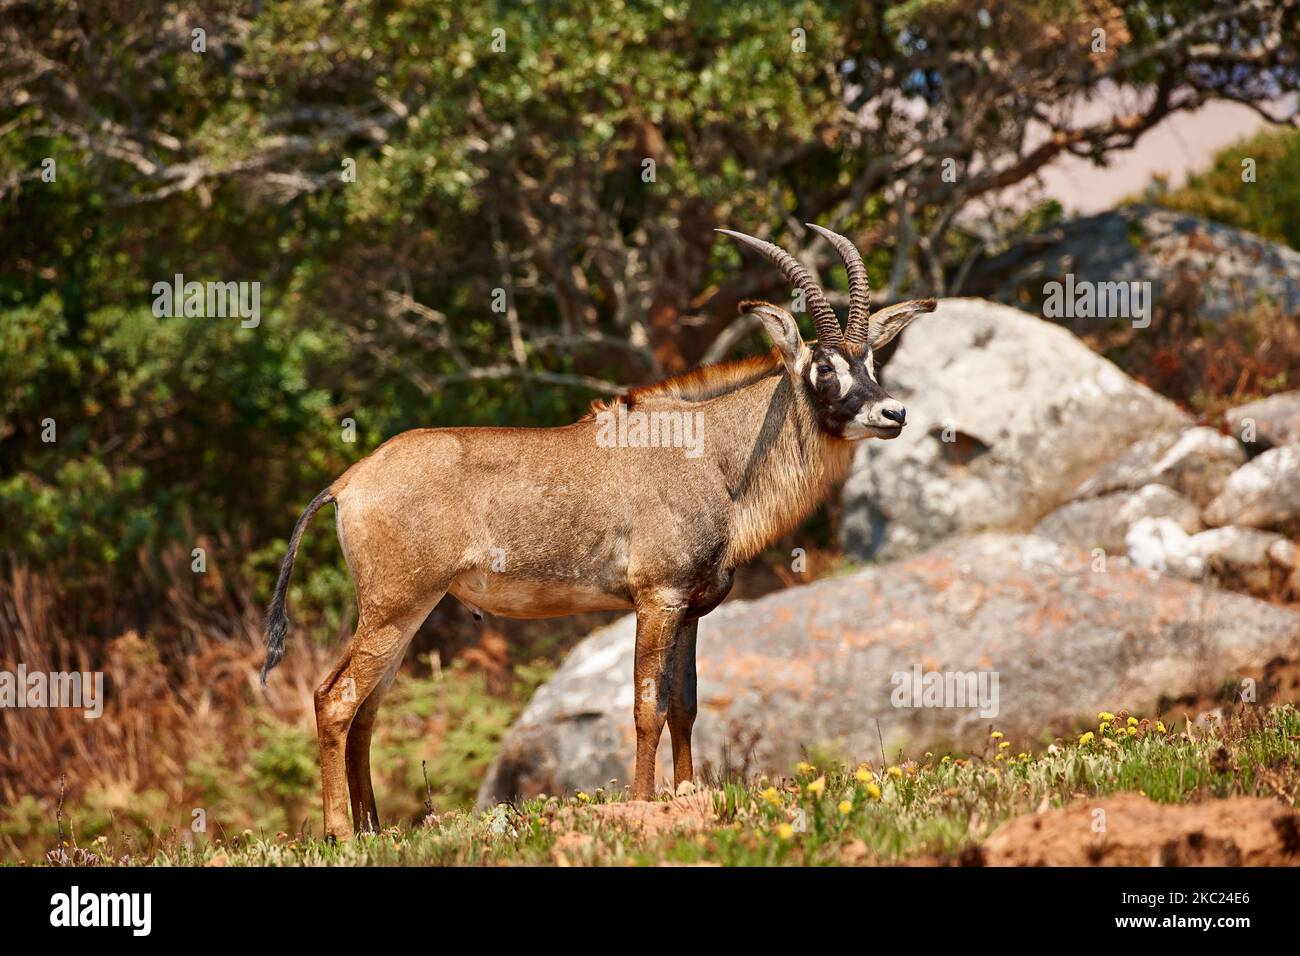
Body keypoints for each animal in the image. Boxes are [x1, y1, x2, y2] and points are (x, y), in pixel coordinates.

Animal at [263, 223, 935, 837]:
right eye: (823, 366)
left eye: (869, 359)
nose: (893, 412)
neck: (715, 456)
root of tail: (348, 482)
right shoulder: (657, 598)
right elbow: (646, 705)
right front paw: (642, 803)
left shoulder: (691, 609)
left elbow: (685, 705)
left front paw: (685, 794)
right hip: (395, 606)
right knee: (336, 700)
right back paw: (339, 832)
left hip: (405, 613)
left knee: (366, 710)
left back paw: (374, 829)